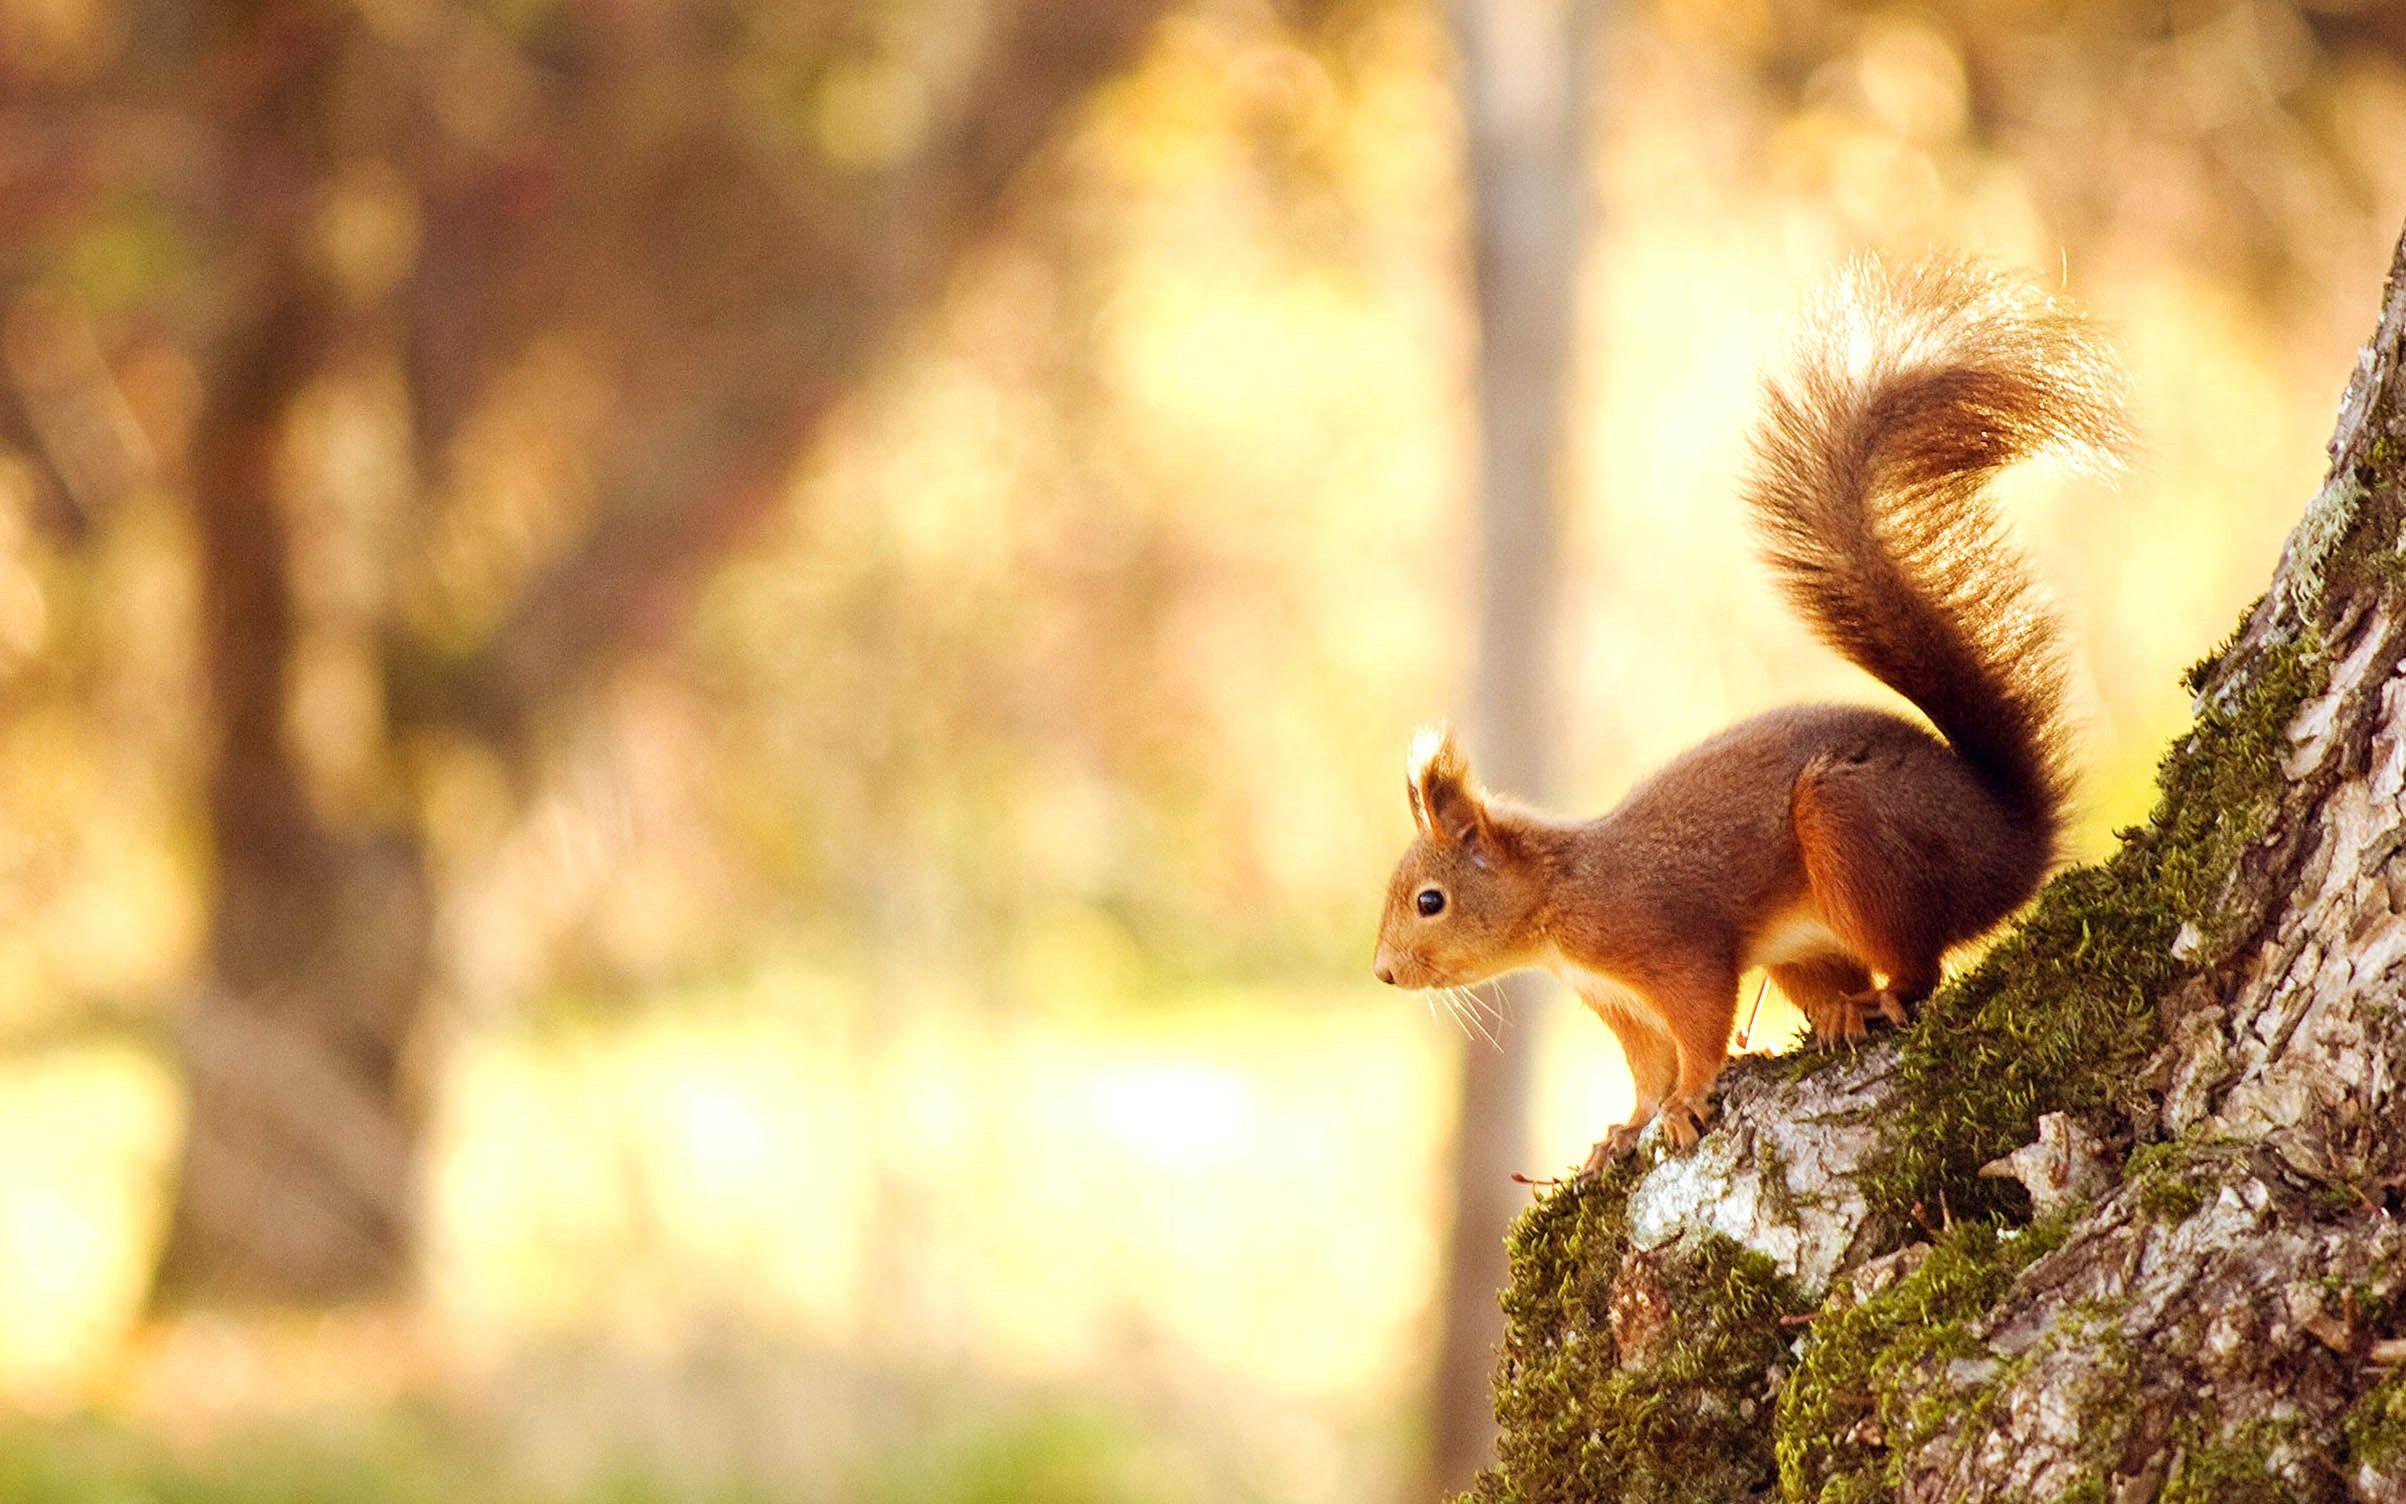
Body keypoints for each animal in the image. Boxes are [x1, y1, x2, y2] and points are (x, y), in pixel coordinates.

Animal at [1370, 257, 2129, 1173]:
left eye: (1430, 901)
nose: (1383, 973)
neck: (1559, 899)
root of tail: (2014, 842)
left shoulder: (1667, 946)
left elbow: (1699, 1026)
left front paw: (1687, 1104)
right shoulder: (1616, 1000)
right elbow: (1646, 1066)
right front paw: (1624, 1129)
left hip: (1853, 832)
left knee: (1918, 969)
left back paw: (1875, 1001)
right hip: (1806, 939)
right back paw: (1838, 1010)